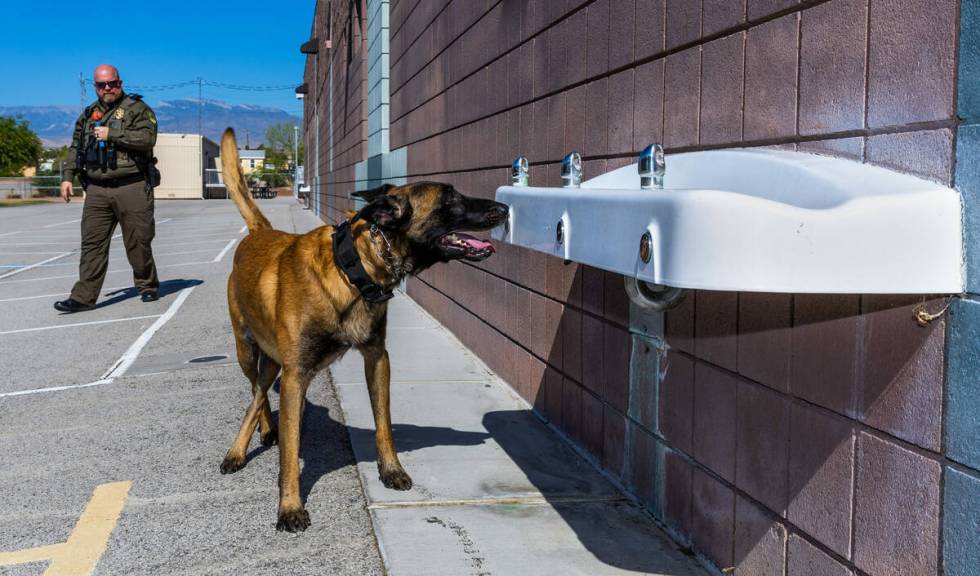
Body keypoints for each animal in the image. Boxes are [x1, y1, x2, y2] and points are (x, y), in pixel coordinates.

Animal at [218, 129, 510, 532]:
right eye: (449, 197)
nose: (505, 208)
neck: (354, 268)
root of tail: (261, 232)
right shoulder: (295, 375)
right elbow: (291, 451)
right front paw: (289, 506)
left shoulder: (377, 358)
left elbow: (383, 423)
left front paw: (391, 470)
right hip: (248, 350)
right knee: (255, 393)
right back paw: (240, 448)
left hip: (274, 360)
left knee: (260, 392)